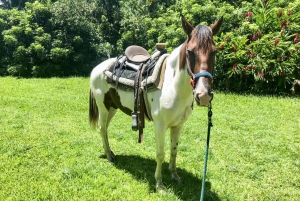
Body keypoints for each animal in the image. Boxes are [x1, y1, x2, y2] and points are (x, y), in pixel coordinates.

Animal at [89, 15, 223, 190]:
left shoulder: (178, 125)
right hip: (103, 107)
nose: (204, 94)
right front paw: (159, 184)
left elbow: (174, 150)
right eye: (190, 51)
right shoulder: (160, 125)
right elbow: (160, 154)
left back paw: (110, 153)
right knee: (102, 128)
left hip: (113, 107)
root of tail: (97, 68)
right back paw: (109, 156)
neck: (172, 85)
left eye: (214, 51)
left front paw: (175, 176)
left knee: (104, 129)